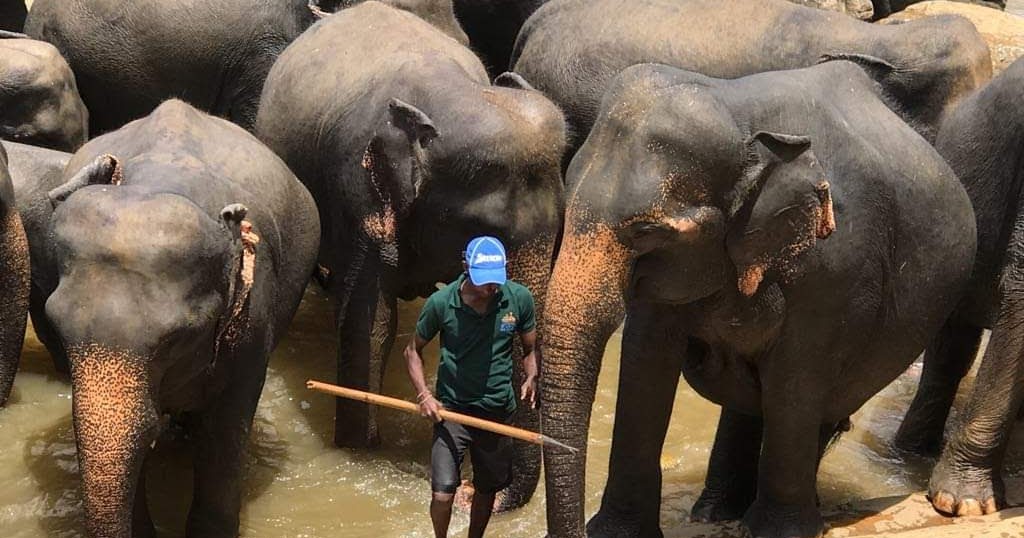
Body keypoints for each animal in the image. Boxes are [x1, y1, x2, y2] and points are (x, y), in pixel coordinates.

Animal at [256, 1, 565, 511]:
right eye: (485, 235)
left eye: (560, 229)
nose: (468, 492)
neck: (450, 96)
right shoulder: (360, 196)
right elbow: (372, 324)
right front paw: (360, 451)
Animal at [537, 61, 976, 538]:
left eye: (647, 233)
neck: (739, 113)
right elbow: (645, 360)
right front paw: (617, 532)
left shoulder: (836, 266)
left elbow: (795, 380)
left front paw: (778, 532)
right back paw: (716, 512)